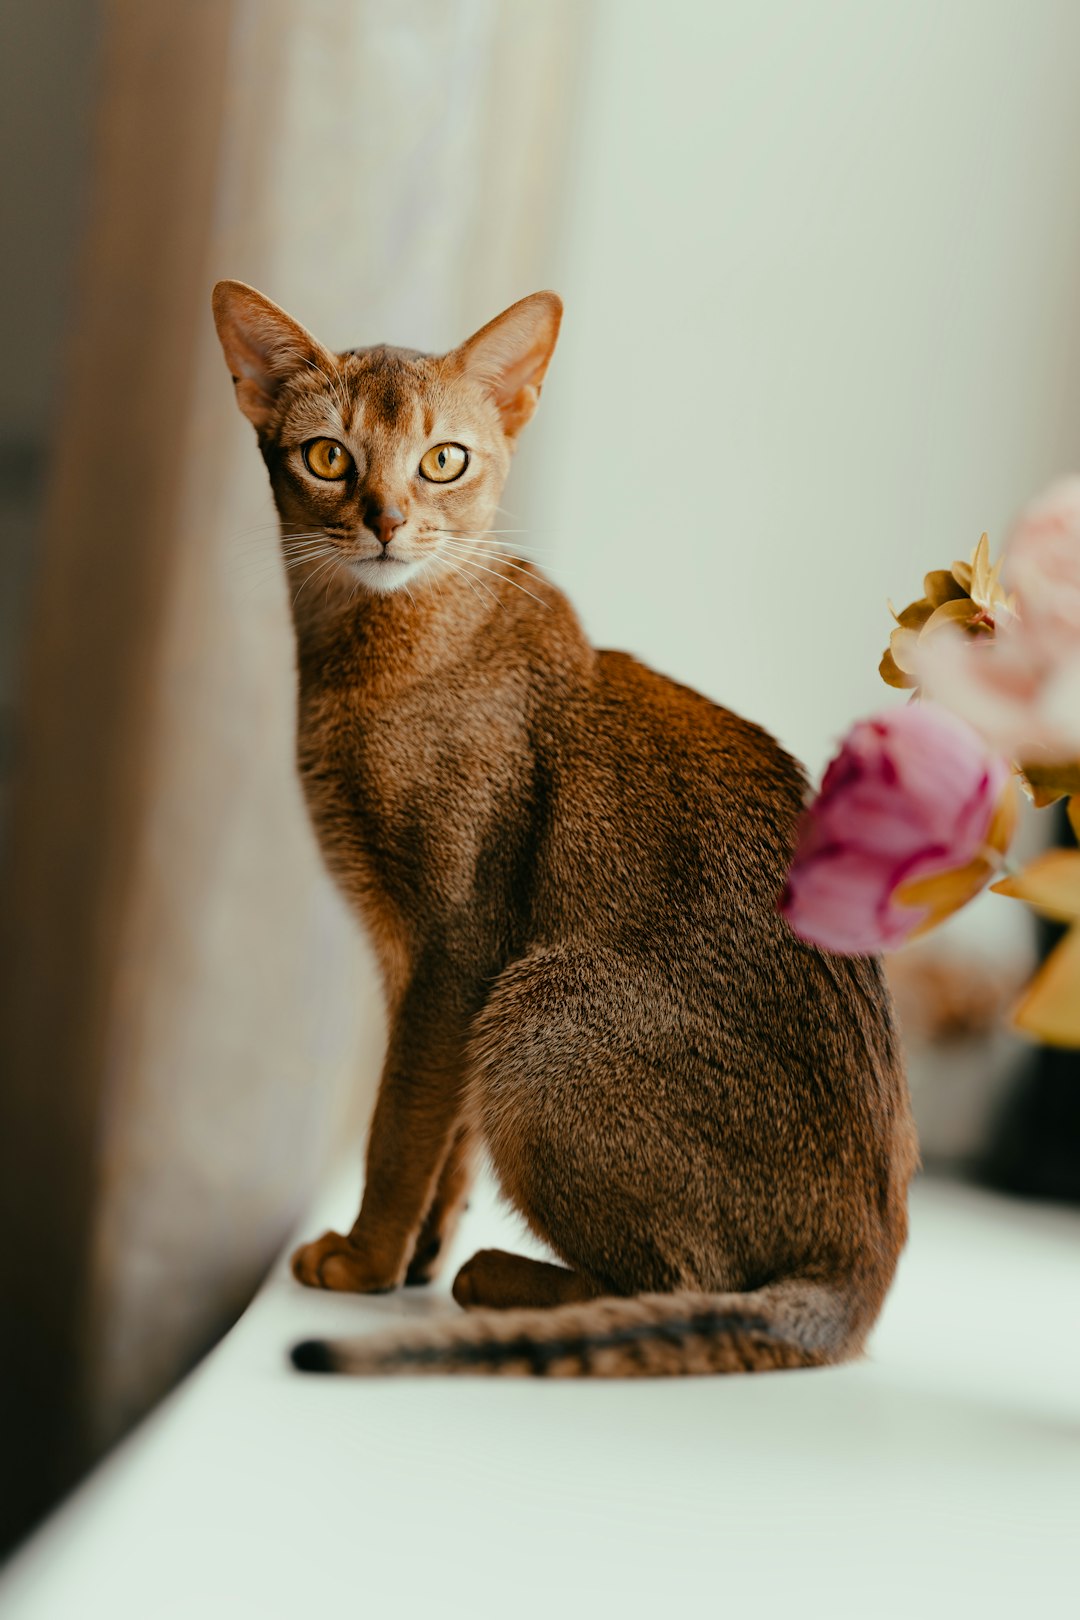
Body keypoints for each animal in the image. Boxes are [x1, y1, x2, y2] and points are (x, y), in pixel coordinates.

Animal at [208, 278, 913, 1380]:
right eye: (328, 457)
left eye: (443, 459)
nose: (386, 522)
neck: (384, 657)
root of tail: (863, 1271)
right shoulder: (431, 969)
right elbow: (443, 1129)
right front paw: (411, 1253)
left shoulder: (457, 943)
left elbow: (397, 1127)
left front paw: (364, 1261)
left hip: (545, 1012)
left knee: (684, 1283)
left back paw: (498, 1281)